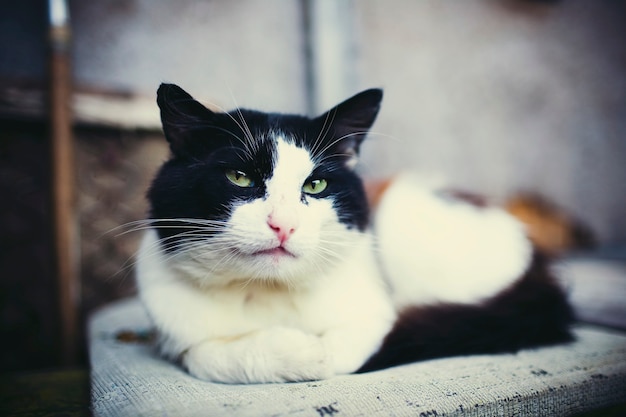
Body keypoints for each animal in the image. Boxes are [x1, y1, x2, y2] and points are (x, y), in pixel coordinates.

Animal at [134, 83, 572, 384]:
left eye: (316, 185)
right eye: (239, 177)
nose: (283, 224)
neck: (267, 292)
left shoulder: (372, 306)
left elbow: (349, 345)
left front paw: (313, 351)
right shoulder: (173, 324)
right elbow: (204, 356)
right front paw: (294, 351)